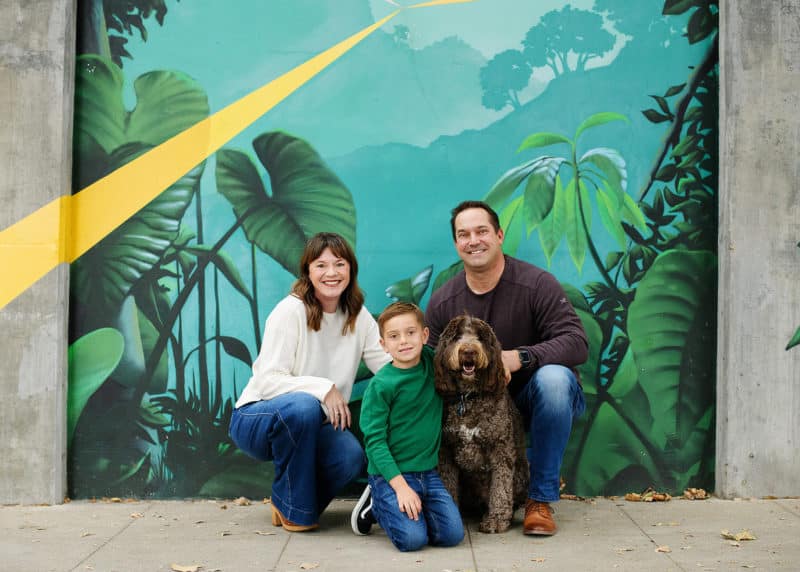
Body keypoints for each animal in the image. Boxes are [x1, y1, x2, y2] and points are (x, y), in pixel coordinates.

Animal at [434, 316, 528, 536]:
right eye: (457, 337)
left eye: (480, 337)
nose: (468, 351)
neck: (468, 397)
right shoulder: (445, 450)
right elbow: (447, 483)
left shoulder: (501, 448)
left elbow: (501, 488)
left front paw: (496, 520)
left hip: (520, 475)